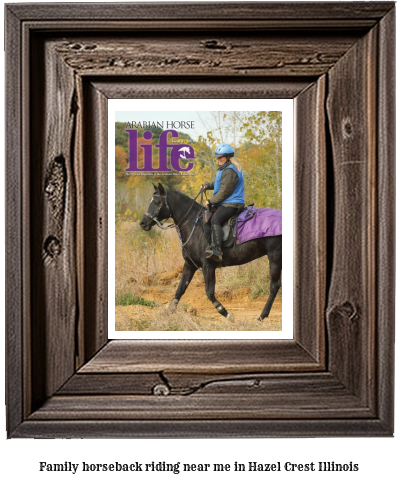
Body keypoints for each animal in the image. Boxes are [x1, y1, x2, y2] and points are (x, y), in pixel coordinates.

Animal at [139, 182, 282, 320]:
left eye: (156, 202)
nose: (143, 223)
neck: (194, 226)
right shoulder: (189, 265)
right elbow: (180, 289)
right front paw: (168, 312)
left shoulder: (208, 265)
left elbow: (209, 292)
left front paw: (226, 313)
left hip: (275, 256)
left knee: (274, 286)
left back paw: (262, 315)